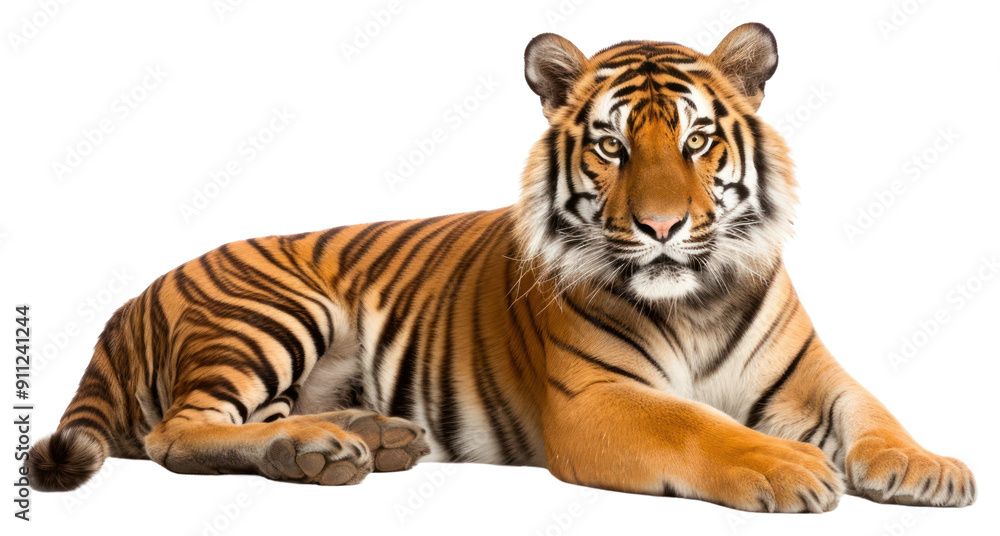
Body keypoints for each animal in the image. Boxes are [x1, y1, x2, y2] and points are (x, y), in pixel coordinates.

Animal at [27, 23, 976, 512]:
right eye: (611, 145)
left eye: (698, 141)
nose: (662, 226)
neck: (693, 301)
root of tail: (132, 298)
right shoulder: (595, 400)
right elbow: (697, 426)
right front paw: (790, 470)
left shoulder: (813, 375)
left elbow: (873, 409)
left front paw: (929, 467)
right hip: (271, 311)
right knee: (177, 432)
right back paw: (320, 451)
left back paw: (364, 437)